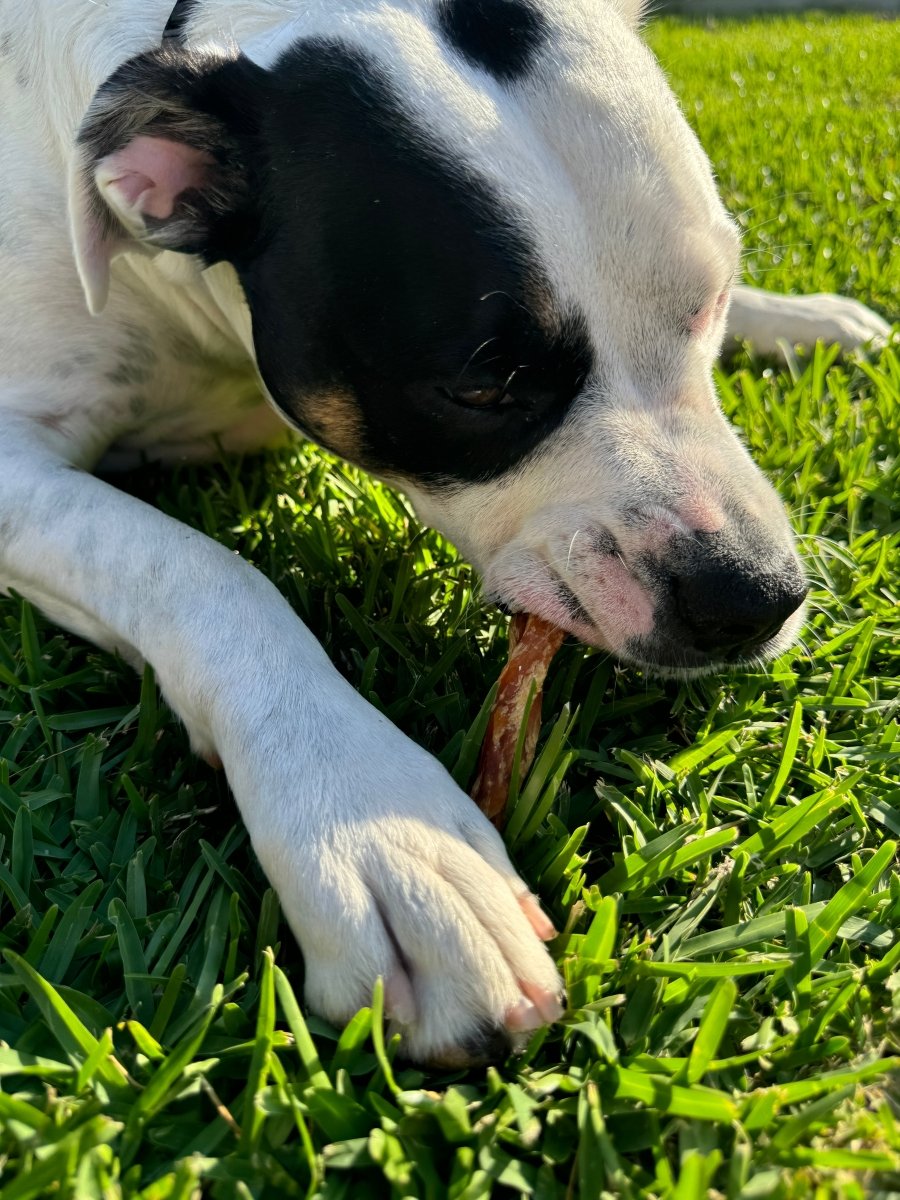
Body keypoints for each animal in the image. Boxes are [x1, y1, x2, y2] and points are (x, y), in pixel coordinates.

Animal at [0, 2, 892, 1070]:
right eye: (484, 383)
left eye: (711, 302)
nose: (753, 596)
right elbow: (200, 570)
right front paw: (382, 833)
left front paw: (798, 316)